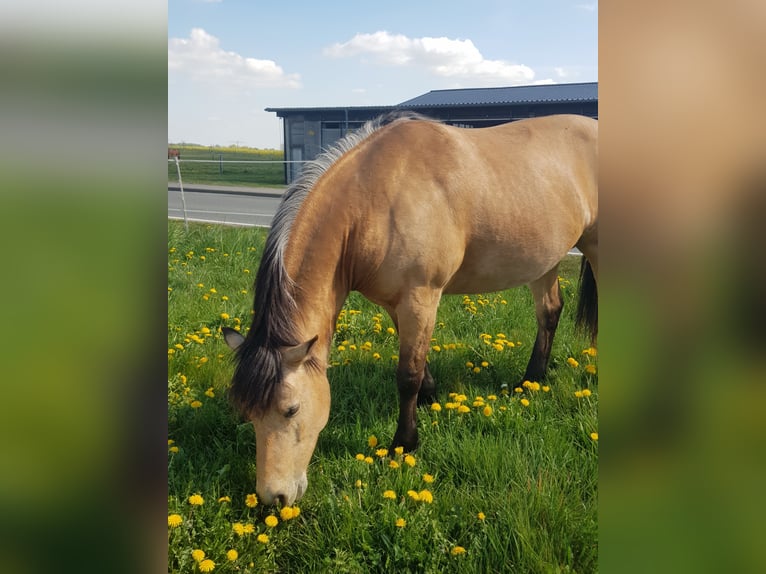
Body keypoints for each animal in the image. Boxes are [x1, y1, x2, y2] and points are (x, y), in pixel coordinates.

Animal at [222, 112, 598, 506]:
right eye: (246, 411)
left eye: (291, 409)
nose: (273, 497)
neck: (375, 196)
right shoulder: (397, 303)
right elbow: (418, 364)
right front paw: (430, 398)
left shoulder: (421, 296)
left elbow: (407, 375)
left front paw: (404, 443)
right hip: (545, 261)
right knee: (549, 312)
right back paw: (532, 379)